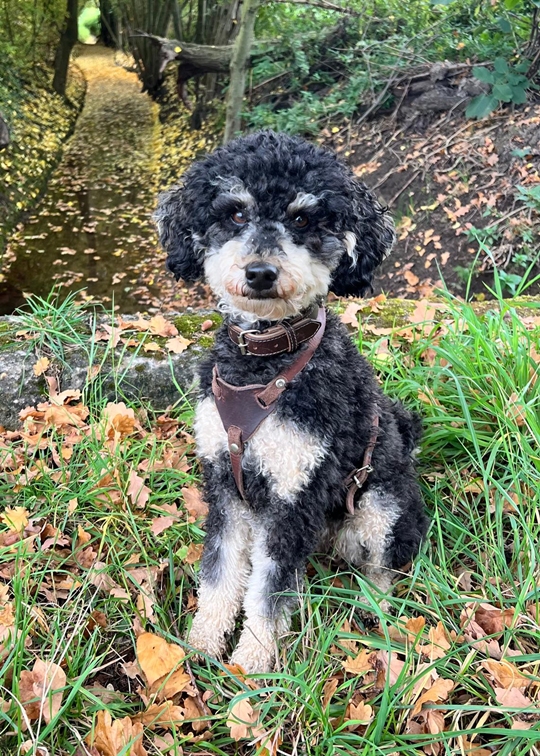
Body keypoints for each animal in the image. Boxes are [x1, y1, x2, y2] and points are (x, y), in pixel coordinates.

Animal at [155, 130, 428, 673]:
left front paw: (251, 666)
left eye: (302, 219)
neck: (266, 362)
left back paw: (375, 611)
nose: (260, 272)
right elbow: (219, 572)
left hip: (381, 507)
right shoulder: (227, 488)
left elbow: (268, 590)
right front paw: (202, 646)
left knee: (385, 566)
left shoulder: (292, 496)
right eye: (236, 213)